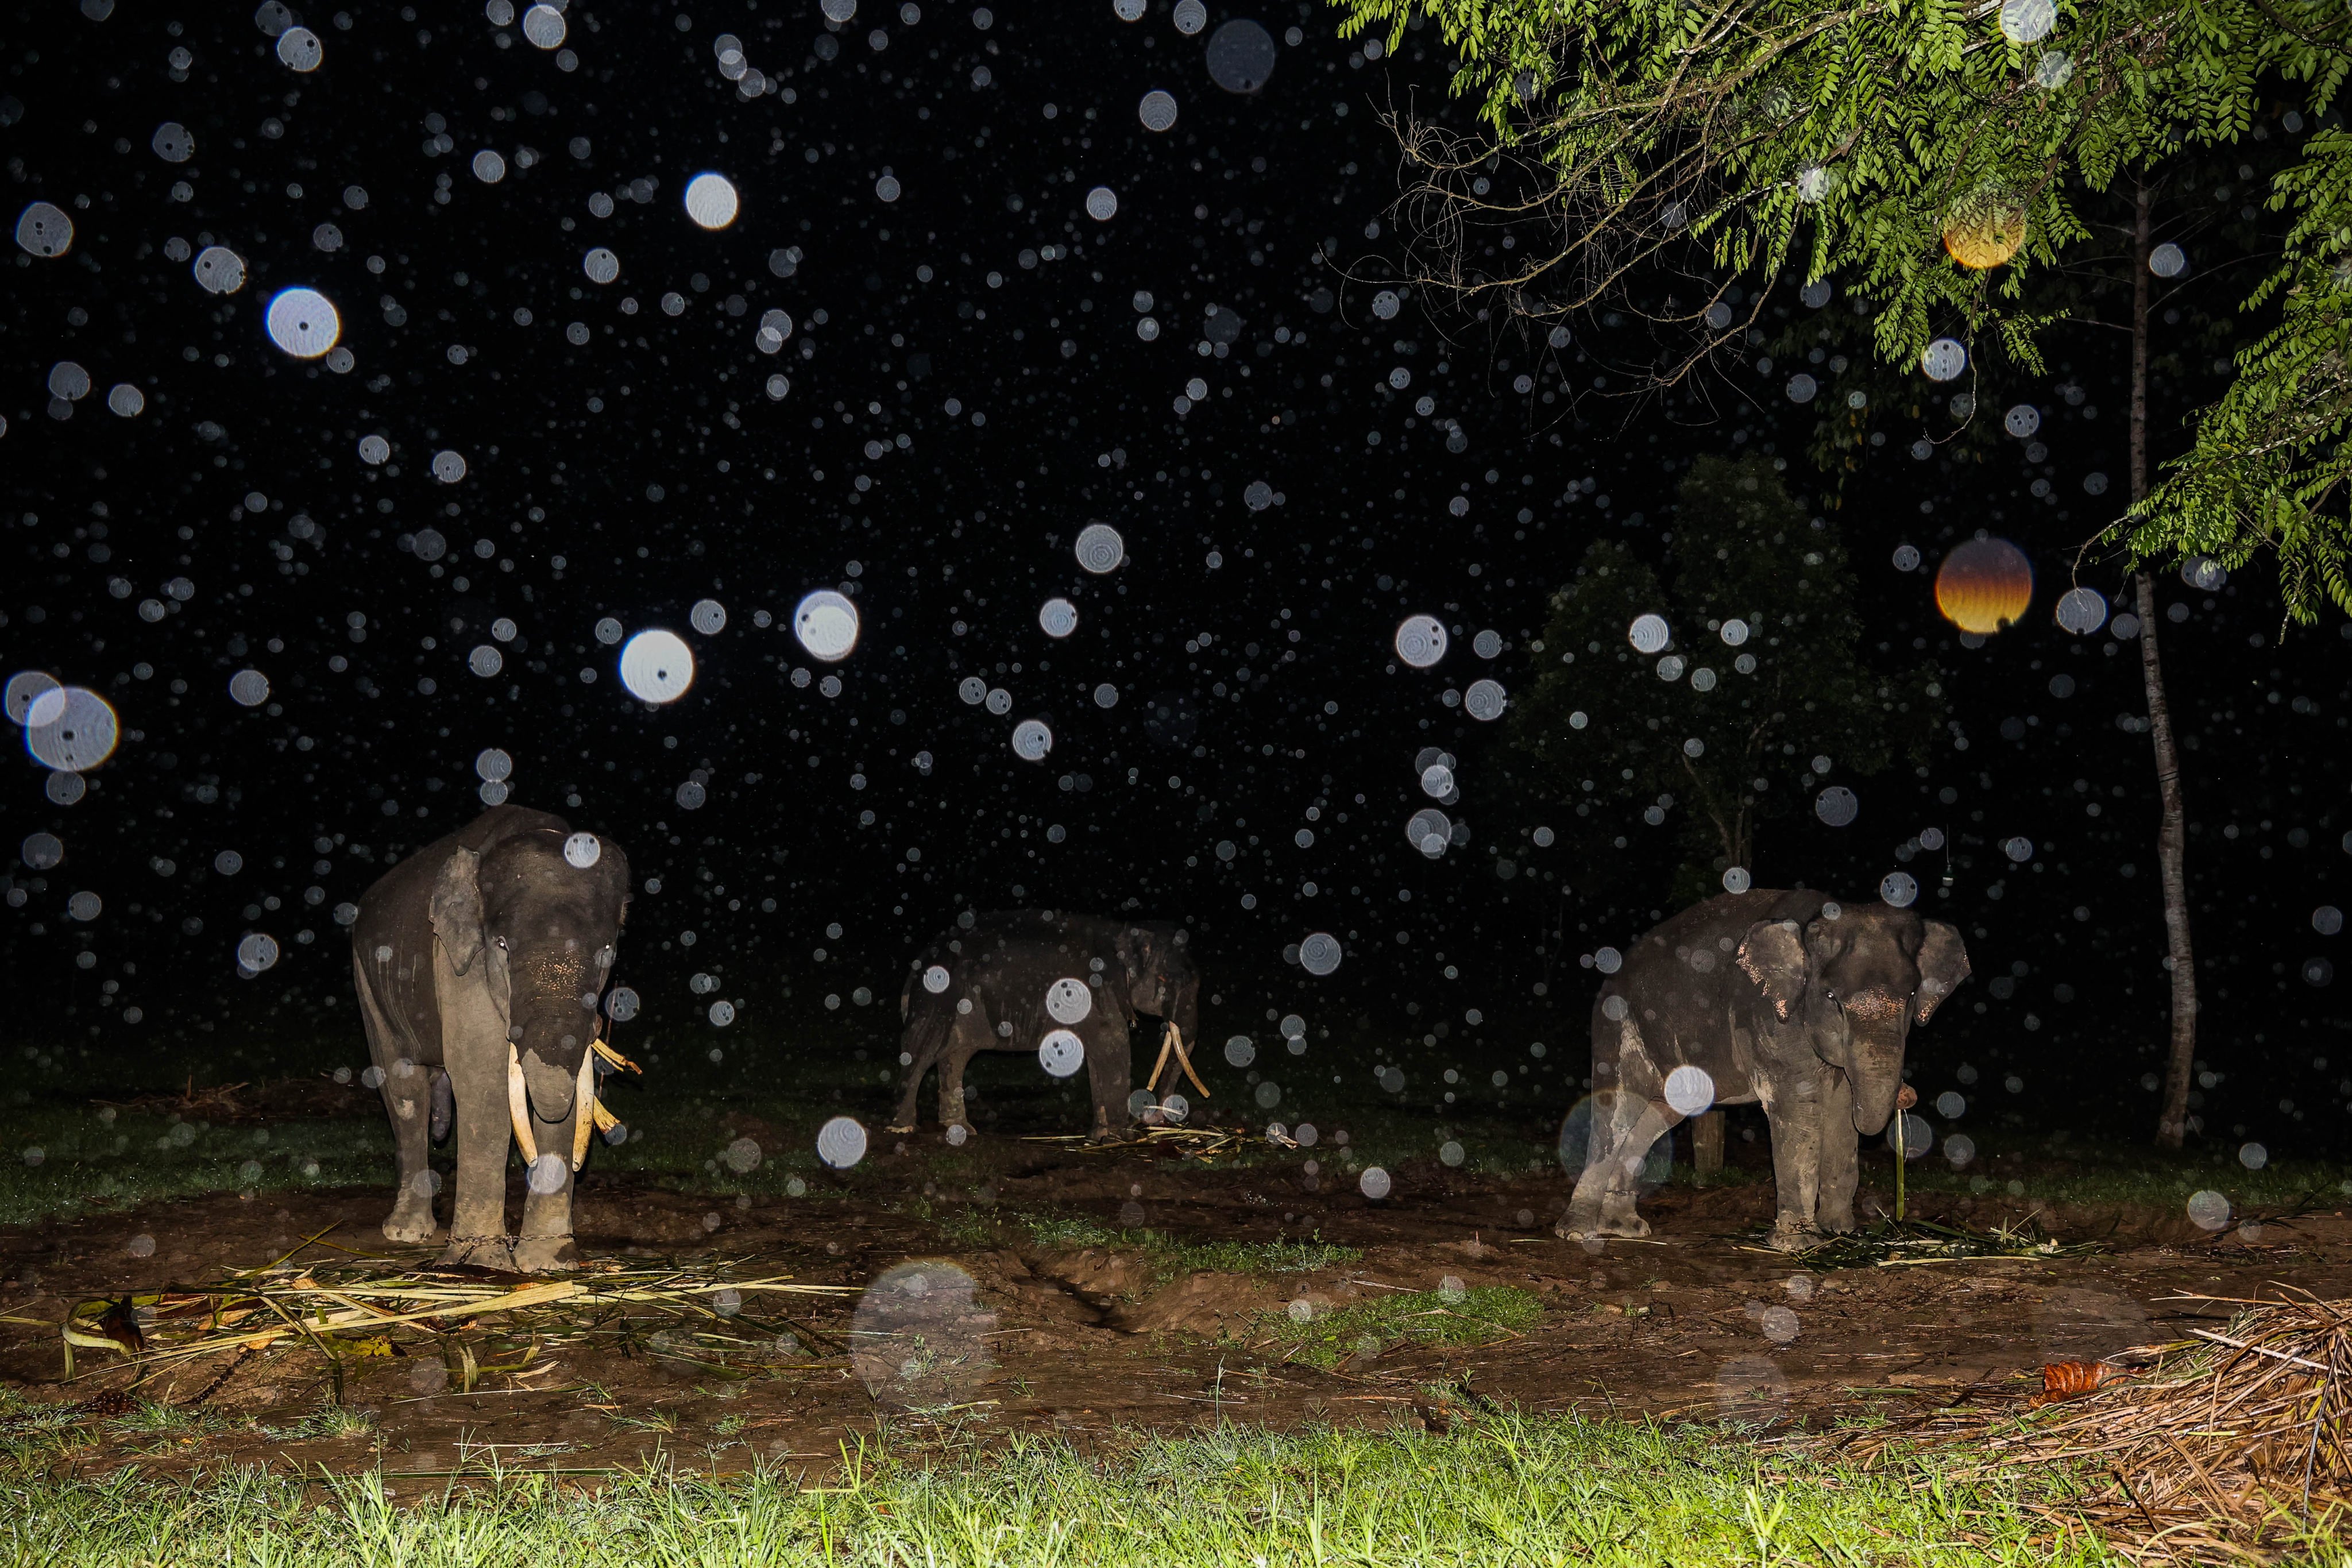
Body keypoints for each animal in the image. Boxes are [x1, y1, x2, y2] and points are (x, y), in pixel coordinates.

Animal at [349, 804, 633, 1272]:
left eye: (607, 953)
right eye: (502, 946)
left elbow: (569, 1096)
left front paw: (550, 1262)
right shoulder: (456, 962)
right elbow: (482, 1085)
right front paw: (479, 1263)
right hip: (366, 983)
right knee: (404, 1090)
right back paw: (407, 1232)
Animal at [886, 909, 1202, 1142]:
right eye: (1167, 981)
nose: (1154, 1117)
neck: (1125, 930)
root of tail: (919, 962)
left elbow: (1097, 1055)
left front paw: (1098, 1136)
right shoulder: (1097, 990)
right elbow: (1113, 1046)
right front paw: (1121, 1137)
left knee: (956, 1055)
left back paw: (961, 1130)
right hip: (936, 999)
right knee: (922, 1048)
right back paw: (903, 1128)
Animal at [1560, 889, 1969, 1251]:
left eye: (1912, 996)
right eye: (1832, 998)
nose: (1907, 1095)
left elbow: (1841, 1109)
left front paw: (1841, 1233)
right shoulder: (1765, 1017)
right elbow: (1798, 1108)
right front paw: (1798, 1242)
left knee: (1656, 1117)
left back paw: (1623, 1227)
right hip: (1616, 1023)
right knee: (1617, 1112)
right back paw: (1578, 1232)